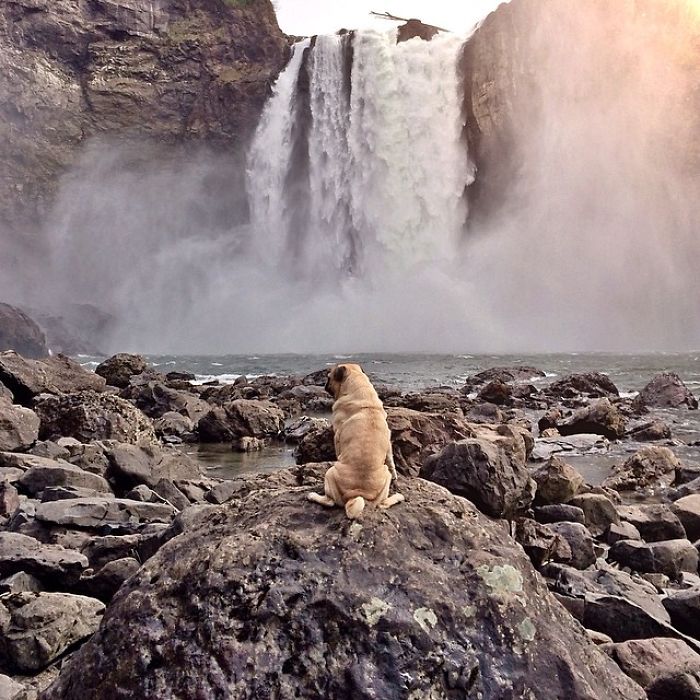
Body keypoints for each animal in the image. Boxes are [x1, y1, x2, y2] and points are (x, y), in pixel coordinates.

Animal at [308, 364, 404, 516]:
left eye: (328, 377)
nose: (325, 385)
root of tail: (357, 495)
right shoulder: (388, 439)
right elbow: (390, 458)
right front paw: (396, 474)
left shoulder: (337, 437)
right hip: (385, 477)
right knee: (382, 504)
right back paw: (398, 496)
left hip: (330, 473)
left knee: (329, 502)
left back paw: (313, 496)